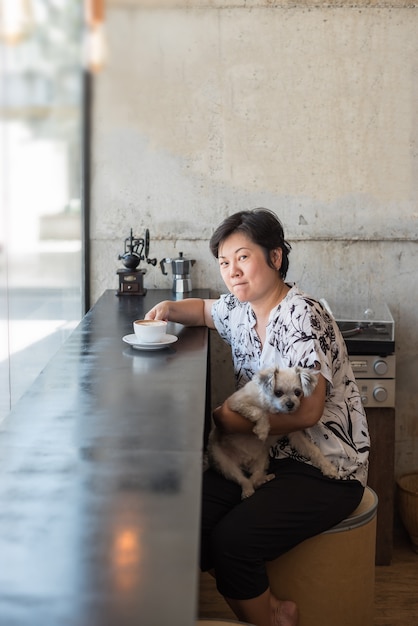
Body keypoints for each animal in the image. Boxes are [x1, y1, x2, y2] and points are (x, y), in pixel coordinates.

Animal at [207, 366, 338, 498]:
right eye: (278, 393)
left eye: (297, 392)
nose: (290, 404)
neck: (273, 408)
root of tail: (245, 461)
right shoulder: (235, 403)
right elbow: (259, 412)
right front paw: (262, 429)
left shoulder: (295, 435)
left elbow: (314, 450)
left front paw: (328, 467)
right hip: (225, 464)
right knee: (244, 480)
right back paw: (247, 491)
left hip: (262, 459)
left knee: (255, 479)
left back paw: (264, 479)